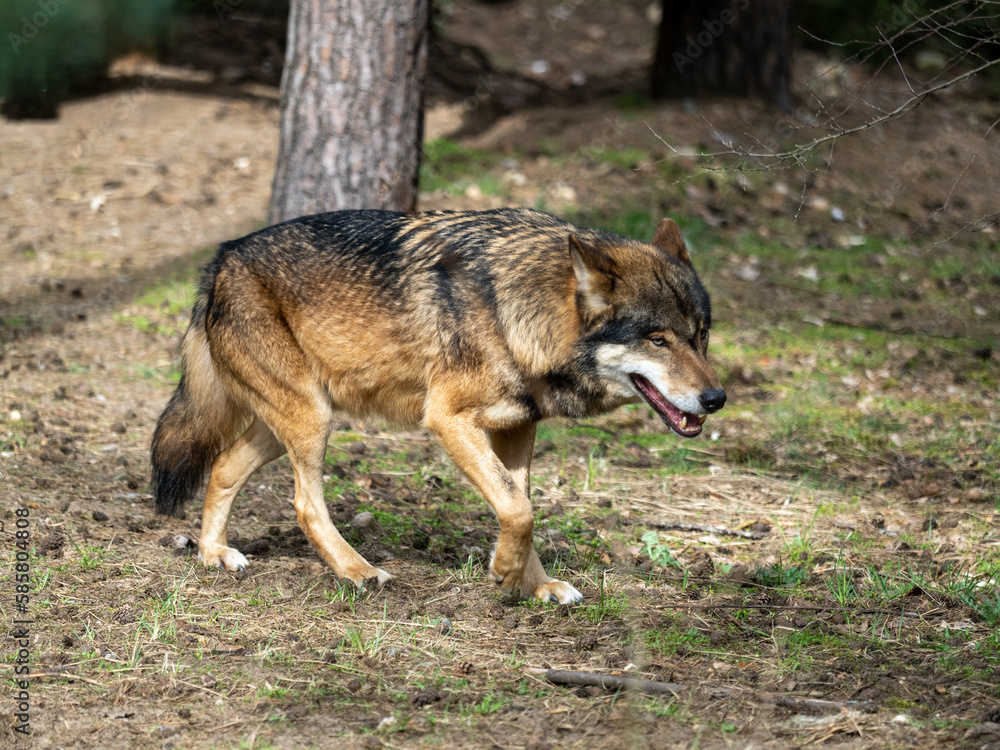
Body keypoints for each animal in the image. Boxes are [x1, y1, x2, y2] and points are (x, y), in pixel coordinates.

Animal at [150, 208, 726, 604]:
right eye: (657, 339)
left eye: (700, 336)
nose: (716, 399)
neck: (516, 314)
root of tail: (220, 259)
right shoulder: (449, 421)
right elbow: (519, 511)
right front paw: (505, 574)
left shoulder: (519, 428)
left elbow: (520, 508)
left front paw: (533, 584)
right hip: (310, 420)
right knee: (304, 503)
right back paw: (357, 571)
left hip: (292, 421)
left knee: (224, 465)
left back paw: (213, 554)